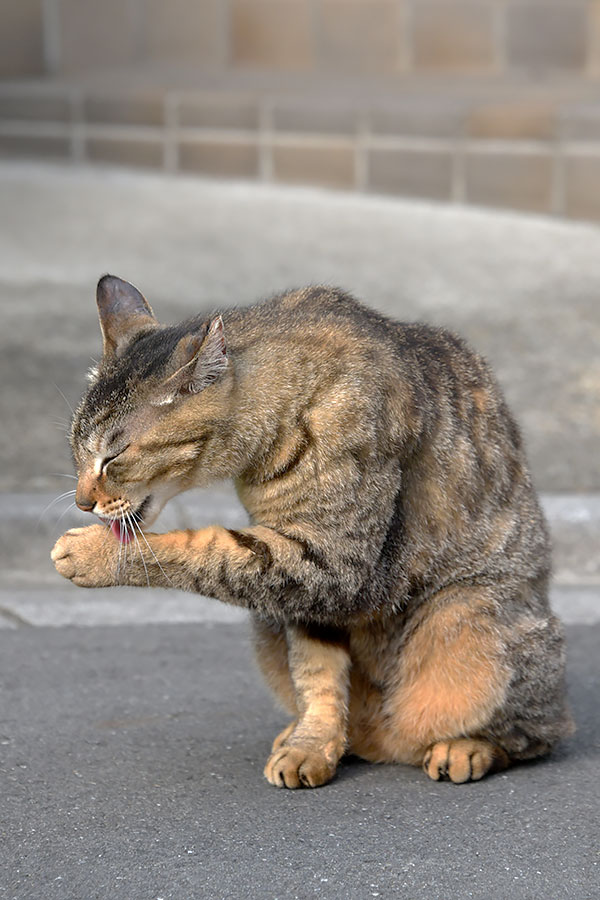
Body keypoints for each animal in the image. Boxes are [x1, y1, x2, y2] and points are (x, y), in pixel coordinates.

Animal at [50, 274, 572, 788]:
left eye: (113, 457)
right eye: (75, 451)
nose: (81, 501)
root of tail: (389, 744)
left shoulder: (334, 562)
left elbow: (205, 548)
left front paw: (93, 554)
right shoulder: (304, 590)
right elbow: (317, 675)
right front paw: (312, 746)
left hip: (468, 614)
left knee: (540, 730)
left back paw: (467, 747)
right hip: (266, 622)